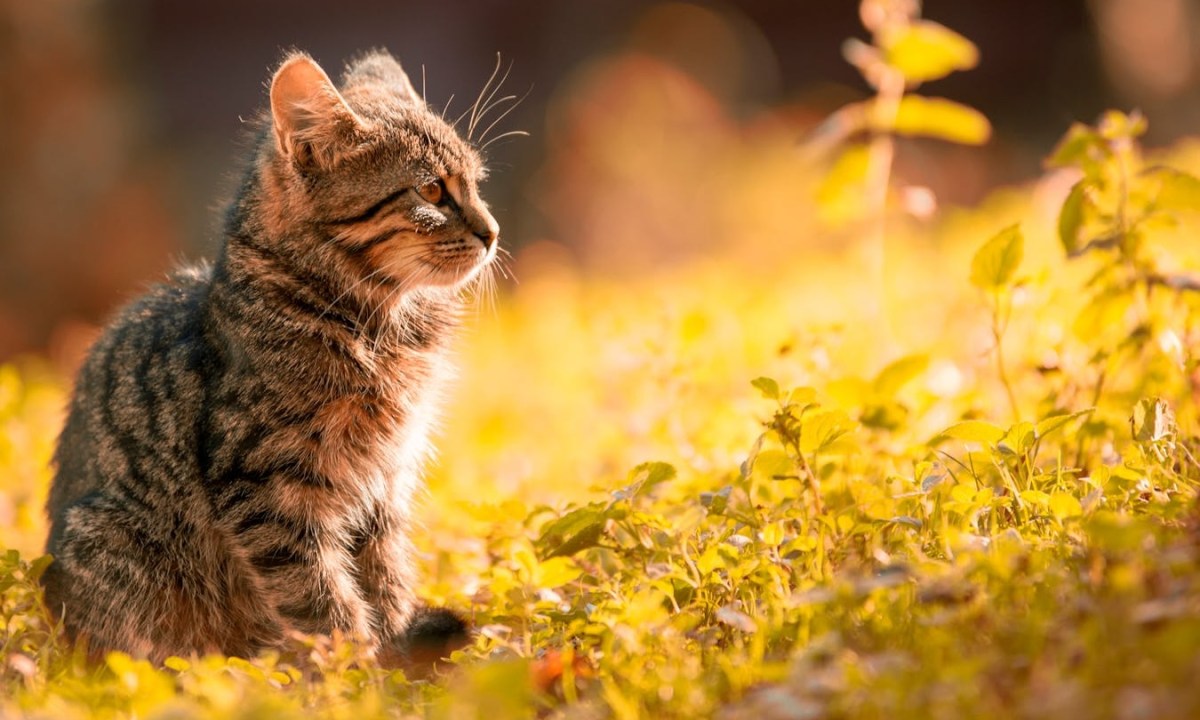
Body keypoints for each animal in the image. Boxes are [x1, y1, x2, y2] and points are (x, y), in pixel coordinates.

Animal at [39, 50, 494, 667]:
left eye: (476, 184)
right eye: (430, 191)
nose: (493, 232)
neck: (380, 326)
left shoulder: (385, 481)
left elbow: (386, 577)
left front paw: (396, 652)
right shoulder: (268, 489)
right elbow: (324, 600)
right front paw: (356, 672)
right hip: (110, 542)